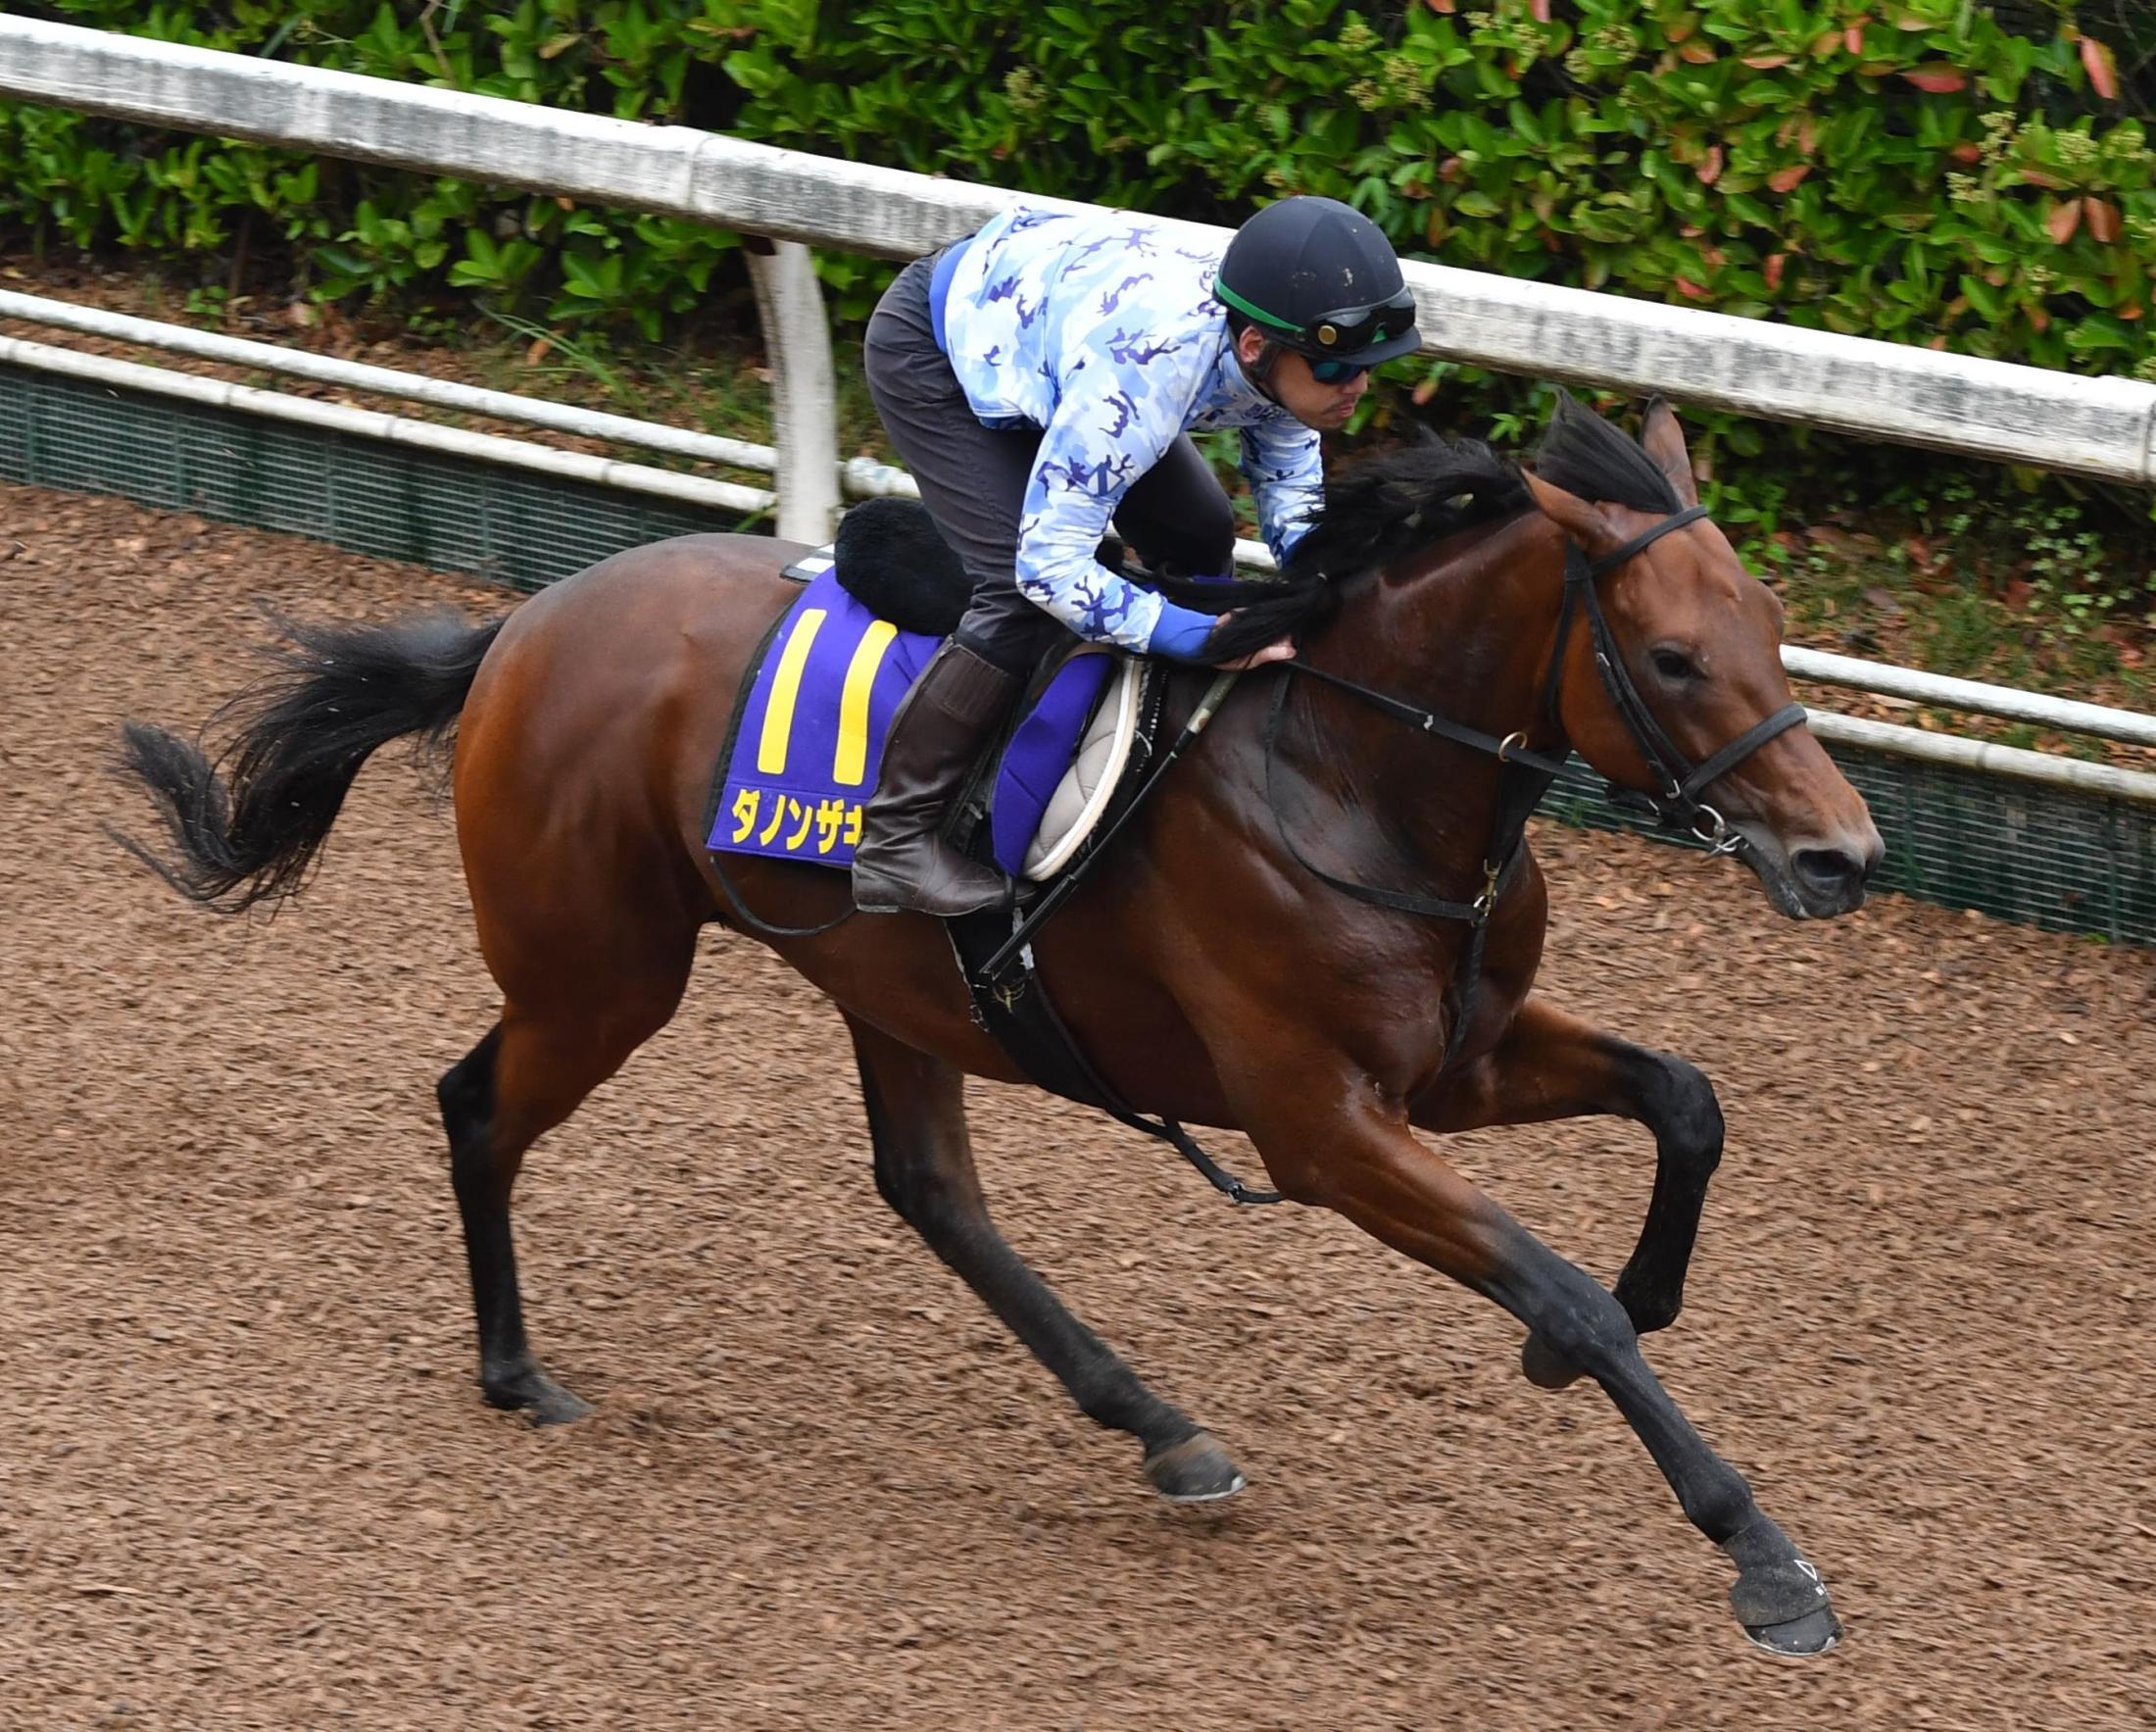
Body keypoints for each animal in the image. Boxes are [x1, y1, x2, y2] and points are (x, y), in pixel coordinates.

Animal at [114, 392, 1871, 1656]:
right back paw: (514, 1369)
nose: (1840, 855)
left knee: (931, 1190)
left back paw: (1159, 1425)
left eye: (1773, 629)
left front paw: (1632, 1307)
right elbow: (1557, 1283)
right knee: (481, 1105)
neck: (1349, 774)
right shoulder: (1319, 1124)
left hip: (887, 979)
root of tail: (522, 626)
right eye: (1671, 656)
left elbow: (1687, 1098)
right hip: (604, 972)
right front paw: (1761, 1552)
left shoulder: (1459, 1059)